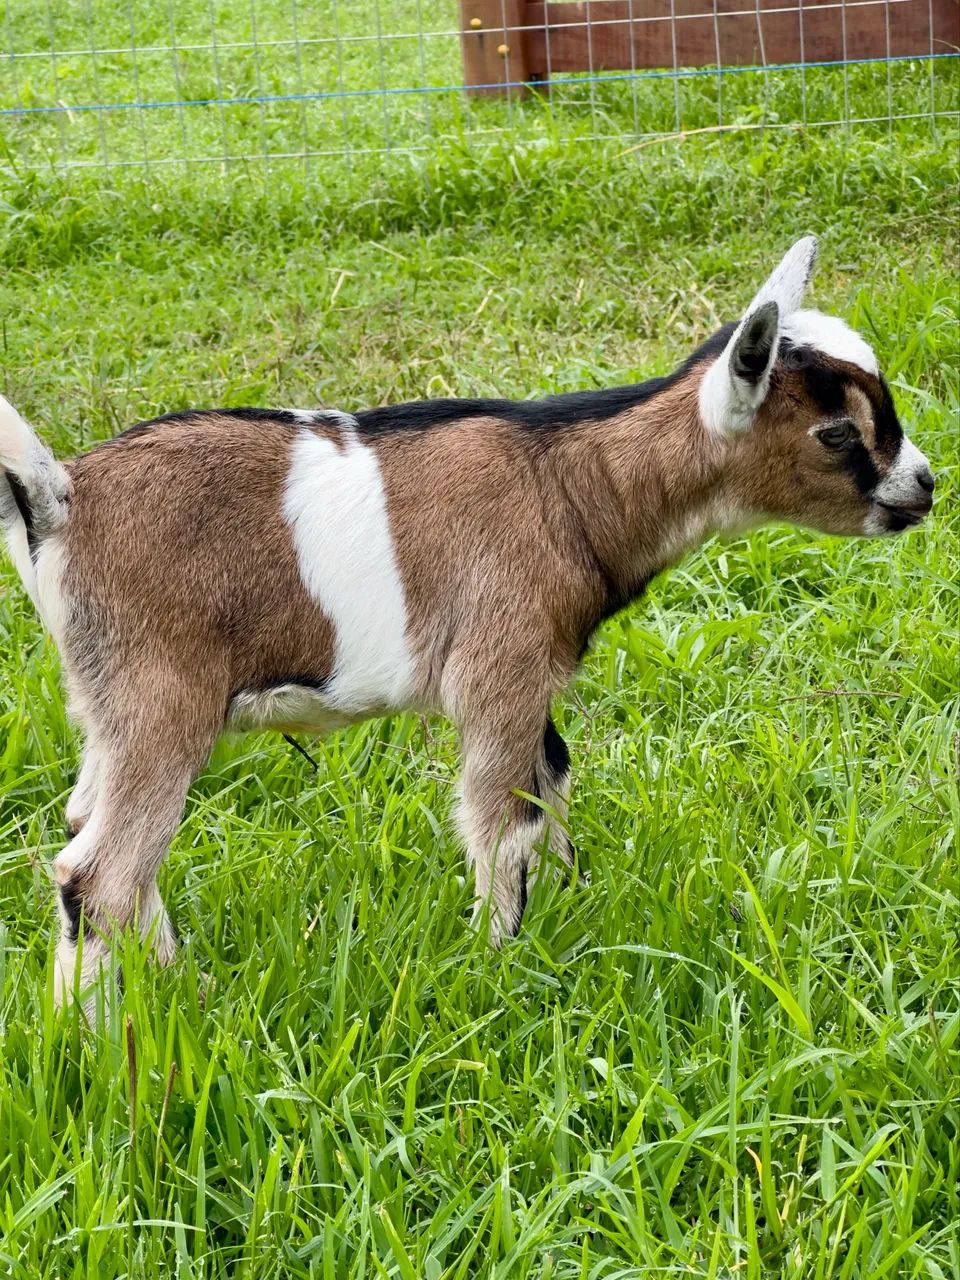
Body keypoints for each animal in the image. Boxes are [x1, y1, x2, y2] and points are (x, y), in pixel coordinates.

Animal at [0, 236, 935, 1008]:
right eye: (837, 433)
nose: (923, 485)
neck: (571, 484)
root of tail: (58, 500)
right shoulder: (499, 665)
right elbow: (502, 821)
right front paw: (501, 972)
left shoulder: (536, 674)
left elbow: (549, 784)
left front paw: (564, 922)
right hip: (163, 694)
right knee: (99, 874)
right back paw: (97, 1047)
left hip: (108, 702)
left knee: (92, 837)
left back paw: (179, 989)